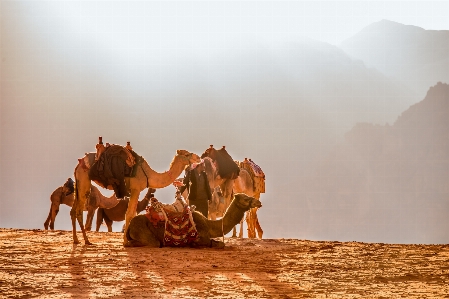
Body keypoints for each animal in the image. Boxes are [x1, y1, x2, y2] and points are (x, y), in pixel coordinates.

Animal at [124, 193, 260, 250]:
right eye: (246, 198)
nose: (258, 202)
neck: (209, 225)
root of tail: (129, 226)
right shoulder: (201, 237)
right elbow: (218, 244)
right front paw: (193, 245)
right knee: (154, 243)